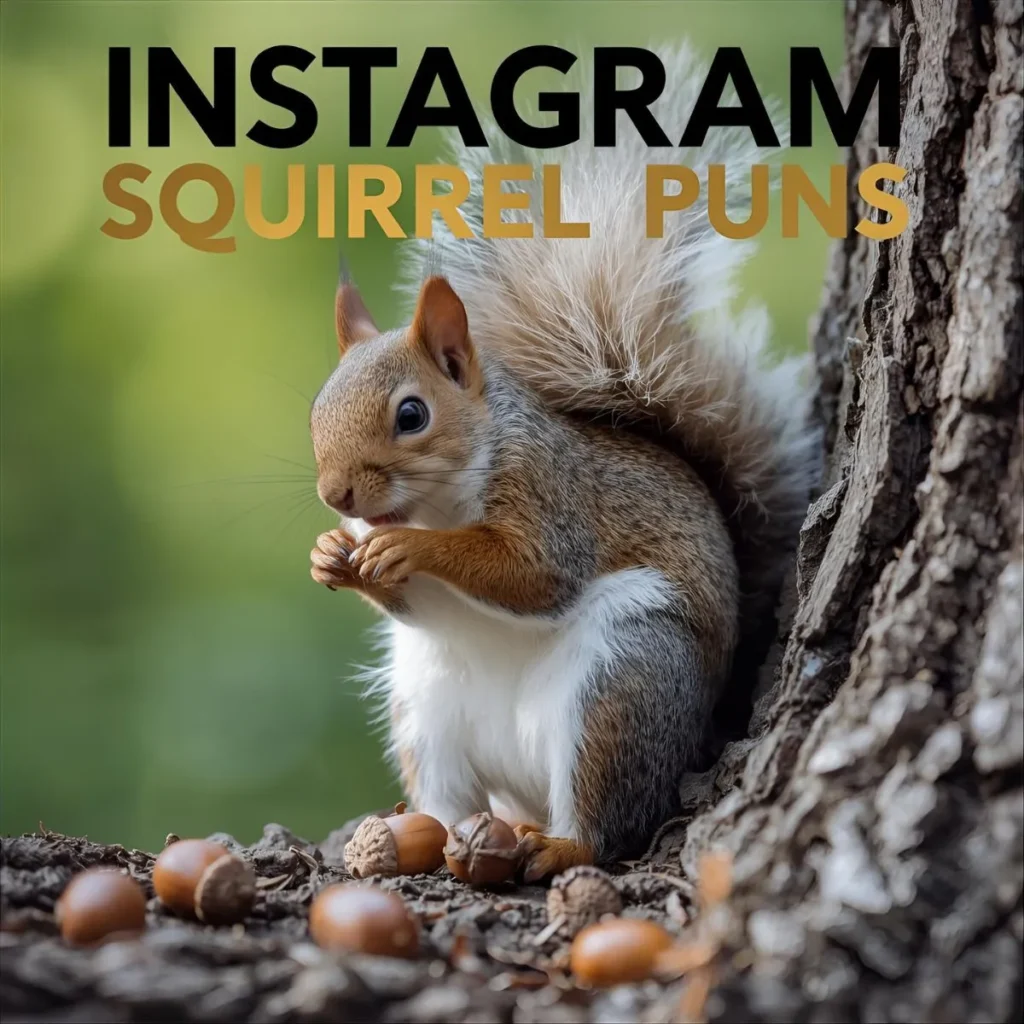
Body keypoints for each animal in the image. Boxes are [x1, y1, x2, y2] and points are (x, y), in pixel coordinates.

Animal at [308, 47, 819, 882]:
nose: (335, 494)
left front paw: (414, 548)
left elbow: (533, 576)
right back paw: (422, 835)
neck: (443, 496)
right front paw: (330, 555)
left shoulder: (551, 493)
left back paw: (558, 844)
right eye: (316, 409)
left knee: (604, 823)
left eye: (411, 415)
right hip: (426, 712)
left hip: (621, 680)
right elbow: (411, 603)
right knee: (447, 802)